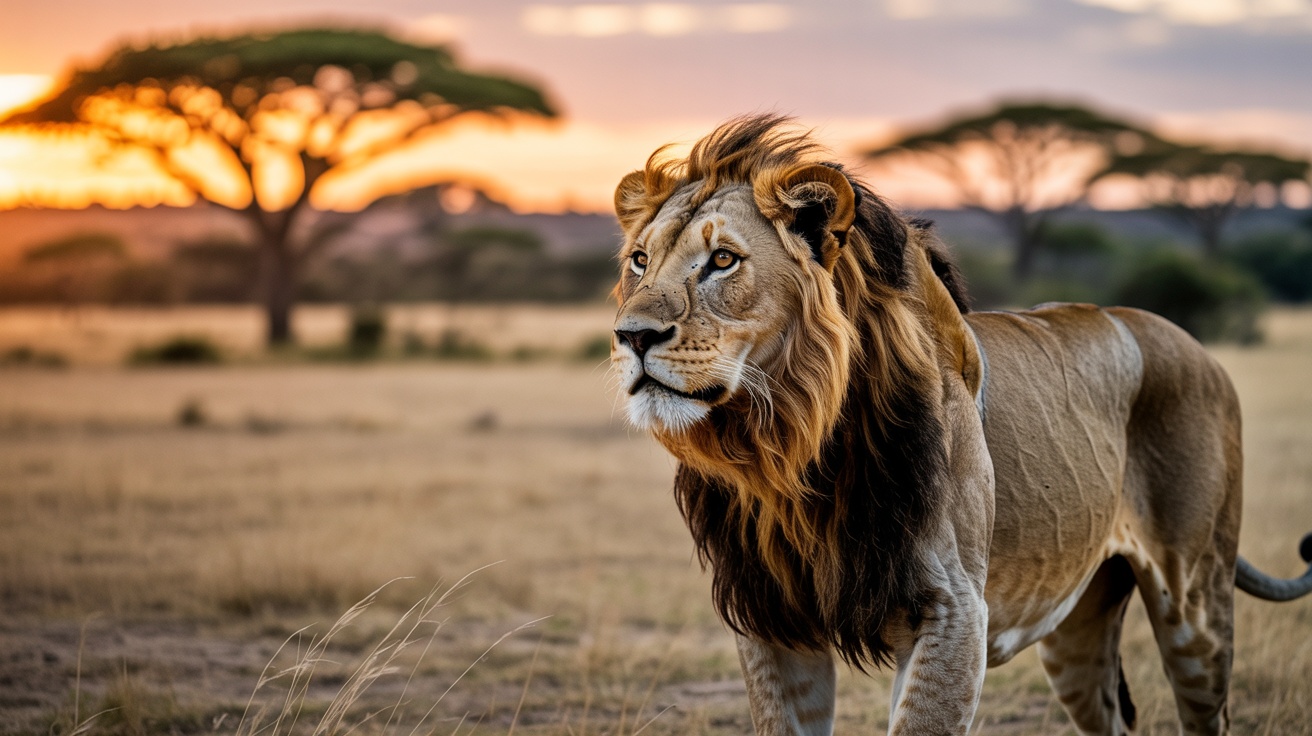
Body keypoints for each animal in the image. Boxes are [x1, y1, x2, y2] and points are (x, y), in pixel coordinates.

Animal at [608, 116, 1312, 735]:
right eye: (640, 261)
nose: (631, 336)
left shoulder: (953, 611)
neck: (788, 447)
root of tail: (1199, 348)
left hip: (1195, 601)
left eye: (723, 260)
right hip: (1076, 628)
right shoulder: (770, 619)